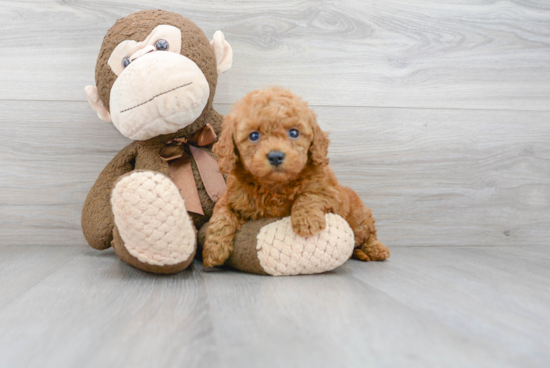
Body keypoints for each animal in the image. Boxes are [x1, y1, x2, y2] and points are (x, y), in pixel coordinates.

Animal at [204, 86, 392, 268]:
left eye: (294, 133)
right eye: (254, 136)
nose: (275, 156)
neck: (275, 185)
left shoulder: (331, 194)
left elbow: (309, 195)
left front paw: (306, 221)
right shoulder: (231, 197)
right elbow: (221, 215)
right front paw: (213, 249)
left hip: (358, 218)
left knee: (368, 233)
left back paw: (378, 250)